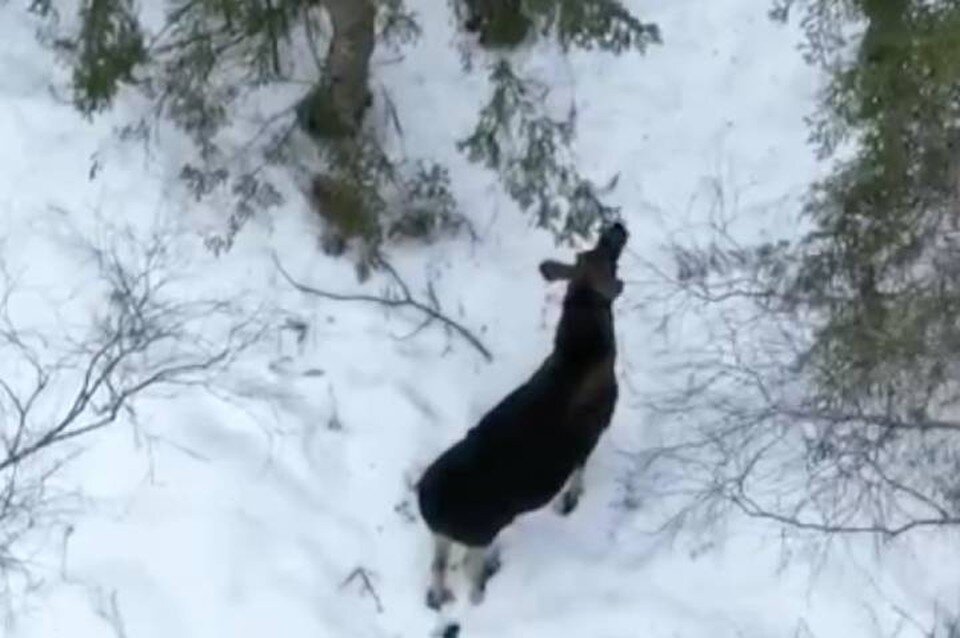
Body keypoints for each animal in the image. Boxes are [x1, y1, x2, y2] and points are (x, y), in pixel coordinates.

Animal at [414, 222, 628, 612]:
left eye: (589, 251)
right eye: (607, 256)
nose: (616, 227)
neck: (590, 350)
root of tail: (426, 506)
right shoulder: (594, 432)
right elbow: (578, 476)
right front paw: (571, 502)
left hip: (444, 536)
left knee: (437, 566)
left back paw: (439, 598)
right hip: (480, 531)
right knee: (467, 568)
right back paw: (479, 595)